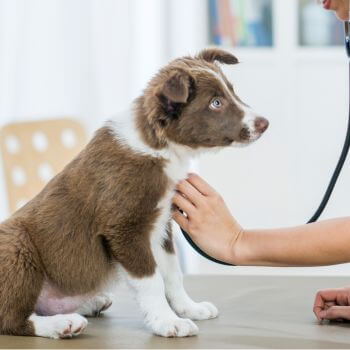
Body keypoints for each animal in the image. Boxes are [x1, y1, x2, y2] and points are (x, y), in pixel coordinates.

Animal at [0, 47, 270, 338]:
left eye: (232, 91)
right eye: (216, 103)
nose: (264, 123)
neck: (160, 146)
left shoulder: (160, 225)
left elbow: (172, 273)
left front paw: (189, 308)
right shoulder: (125, 229)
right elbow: (151, 281)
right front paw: (167, 322)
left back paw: (90, 304)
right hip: (17, 248)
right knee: (12, 319)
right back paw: (62, 324)